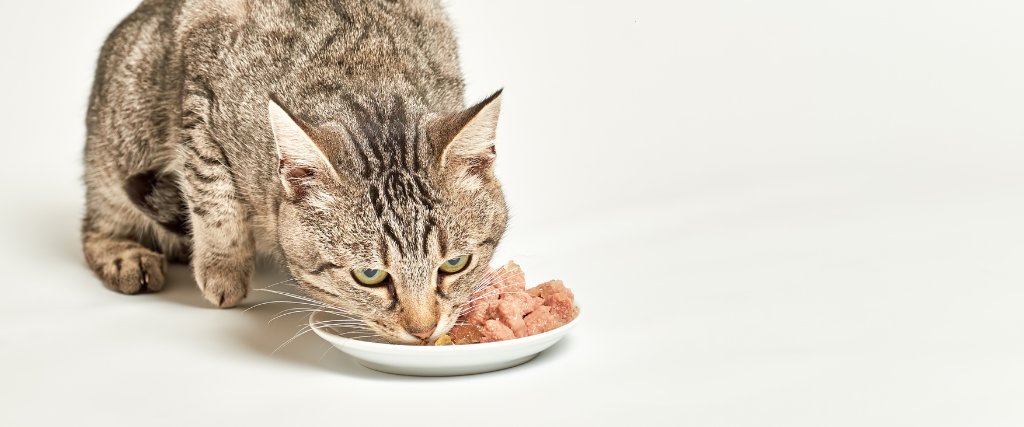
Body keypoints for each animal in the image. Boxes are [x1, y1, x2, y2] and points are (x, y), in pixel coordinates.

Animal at [79, 0, 507, 344]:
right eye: (370, 275)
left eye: (455, 265)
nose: (424, 331)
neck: (368, 81)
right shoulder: (201, 82)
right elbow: (212, 193)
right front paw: (224, 271)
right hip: (119, 145)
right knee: (97, 225)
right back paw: (127, 256)